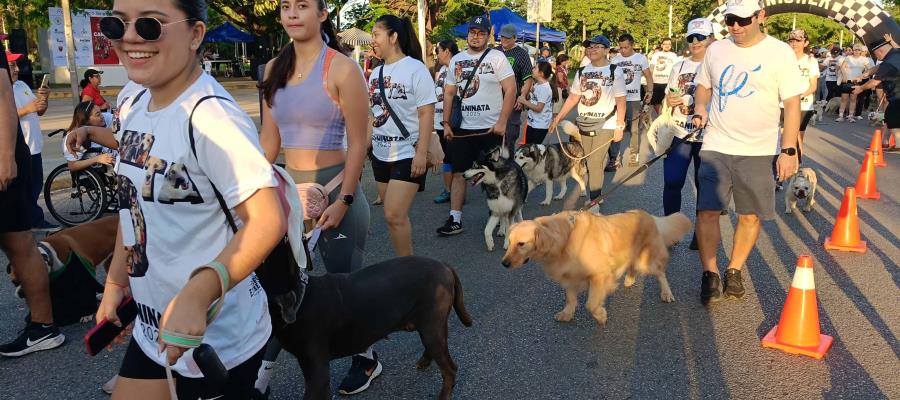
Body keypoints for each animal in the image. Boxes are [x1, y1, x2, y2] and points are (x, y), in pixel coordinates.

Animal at [500, 211, 688, 324]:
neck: (565, 240)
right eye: (509, 242)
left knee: (660, 272)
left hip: (646, 260)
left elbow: (591, 304)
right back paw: (629, 279)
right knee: (633, 265)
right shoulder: (570, 276)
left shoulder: (599, 274)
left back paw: (666, 293)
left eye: (521, 244)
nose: (504, 263)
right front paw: (567, 313)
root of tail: (649, 215)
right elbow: (570, 298)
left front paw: (601, 315)